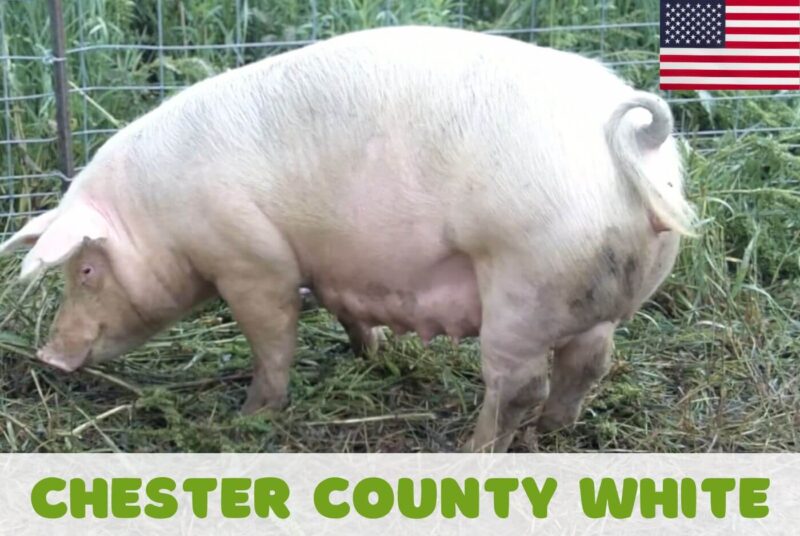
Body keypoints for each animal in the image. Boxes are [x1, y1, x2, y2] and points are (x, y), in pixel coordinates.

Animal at [0, 26, 694, 452]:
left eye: (86, 270)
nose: (48, 355)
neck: (156, 212)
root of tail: (636, 146)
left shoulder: (252, 260)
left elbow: (273, 339)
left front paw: (250, 415)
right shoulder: (328, 266)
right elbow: (344, 311)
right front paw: (370, 353)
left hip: (523, 284)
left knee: (521, 385)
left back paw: (469, 451)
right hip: (590, 293)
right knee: (588, 361)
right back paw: (548, 434)